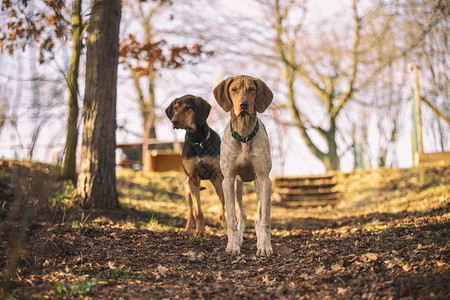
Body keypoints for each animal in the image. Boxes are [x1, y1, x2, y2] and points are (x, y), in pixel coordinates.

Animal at [165, 94, 227, 237]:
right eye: (175, 108)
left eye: (187, 108)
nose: (174, 121)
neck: (198, 141)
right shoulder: (192, 178)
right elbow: (198, 212)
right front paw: (200, 232)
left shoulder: (218, 177)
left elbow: (223, 208)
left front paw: (229, 230)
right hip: (187, 188)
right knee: (191, 211)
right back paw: (188, 229)